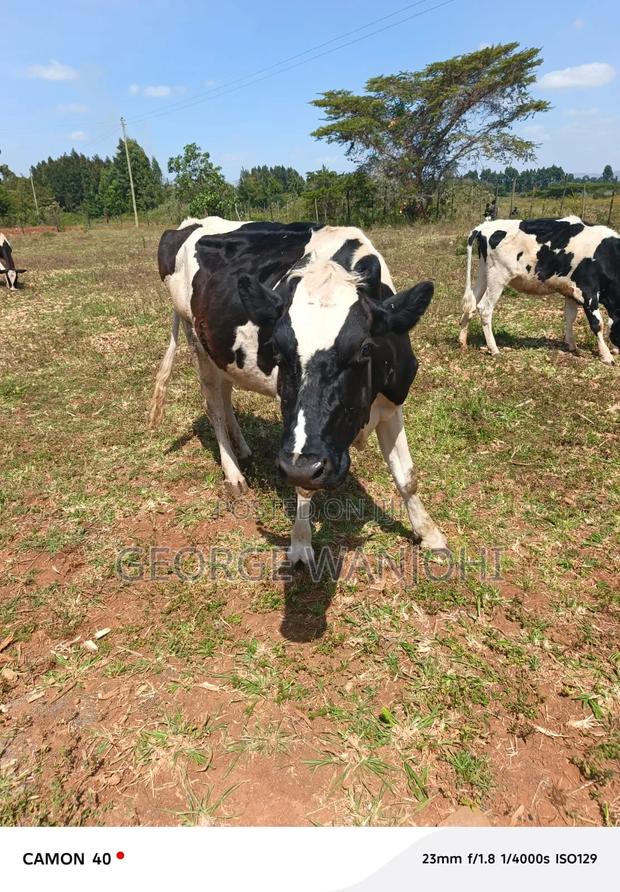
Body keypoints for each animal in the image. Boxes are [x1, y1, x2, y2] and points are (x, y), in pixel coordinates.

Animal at [150, 216, 447, 567]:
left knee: (226, 396)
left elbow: (407, 477)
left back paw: (243, 448)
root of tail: (190, 223)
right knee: (214, 408)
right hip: (198, 343)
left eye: (365, 349)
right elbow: (304, 488)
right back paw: (234, 474)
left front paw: (429, 534)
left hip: (222, 353)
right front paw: (301, 545)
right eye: (277, 350)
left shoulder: (392, 402)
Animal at [459, 216, 620, 365]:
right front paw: (606, 356)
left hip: (484, 275)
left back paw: (462, 342)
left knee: (471, 305)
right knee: (485, 309)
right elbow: (597, 324)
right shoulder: (588, 292)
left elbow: (570, 317)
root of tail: (484, 226)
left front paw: (571, 345)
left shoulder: (570, 291)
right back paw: (494, 349)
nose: (616, 351)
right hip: (498, 277)